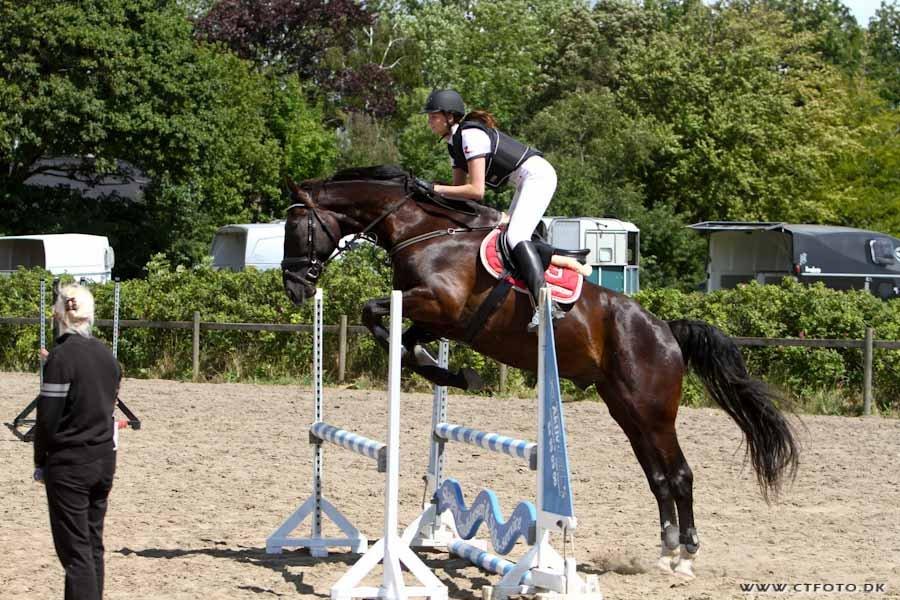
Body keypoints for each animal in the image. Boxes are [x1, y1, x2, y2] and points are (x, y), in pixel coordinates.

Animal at [278, 166, 800, 580]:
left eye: (296, 226)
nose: (294, 287)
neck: (423, 232)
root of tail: (665, 329)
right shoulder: (438, 319)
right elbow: (400, 340)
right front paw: (451, 375)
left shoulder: (439, 306)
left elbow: (374, 314)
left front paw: (452, 374)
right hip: (626, 410)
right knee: (659, 477)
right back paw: (667, 550)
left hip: (652, 412)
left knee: (681, 474)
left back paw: (686, 554)